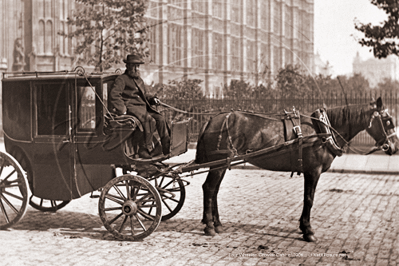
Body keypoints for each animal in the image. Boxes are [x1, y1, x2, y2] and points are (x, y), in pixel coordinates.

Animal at [195, 97, 398, 241]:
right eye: (388, 121)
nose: (394, 147)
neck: (322, 130)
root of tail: (212, 119)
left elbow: (307, 199)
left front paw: (303, 227)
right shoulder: (313, 172)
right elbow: (309, 199)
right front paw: (308, 230)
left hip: (222, 164)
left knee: (214, 190)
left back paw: (217, 223)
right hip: (218, 164)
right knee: (209, 188)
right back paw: (210, 226)